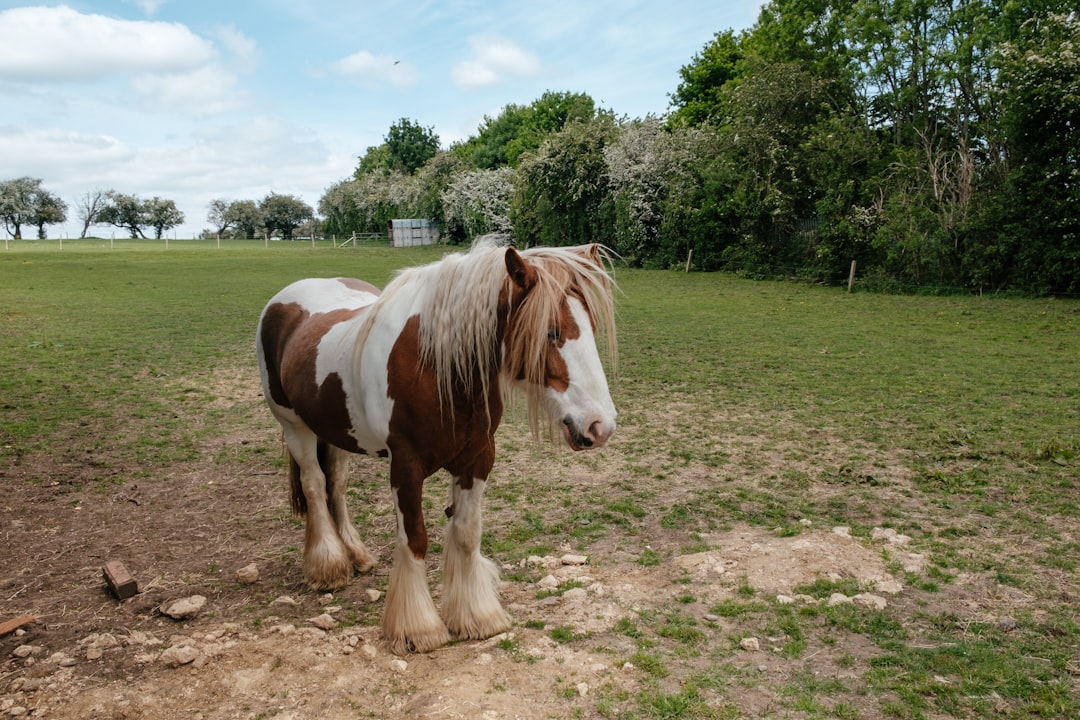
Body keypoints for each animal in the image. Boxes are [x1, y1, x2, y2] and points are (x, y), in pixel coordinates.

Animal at [254, 240, 617, 651]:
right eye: (551, 332)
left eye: (591, 328)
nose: (600, 425)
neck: (434, 366)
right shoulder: (406, 468)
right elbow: (415, 539)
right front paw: (417, 627)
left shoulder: (477, 460)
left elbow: (466, 535)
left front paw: (477, 616)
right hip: (294, 426)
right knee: (315, 486)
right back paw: (329, 566)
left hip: (337, 432)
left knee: (337, 486)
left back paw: (356, 555)